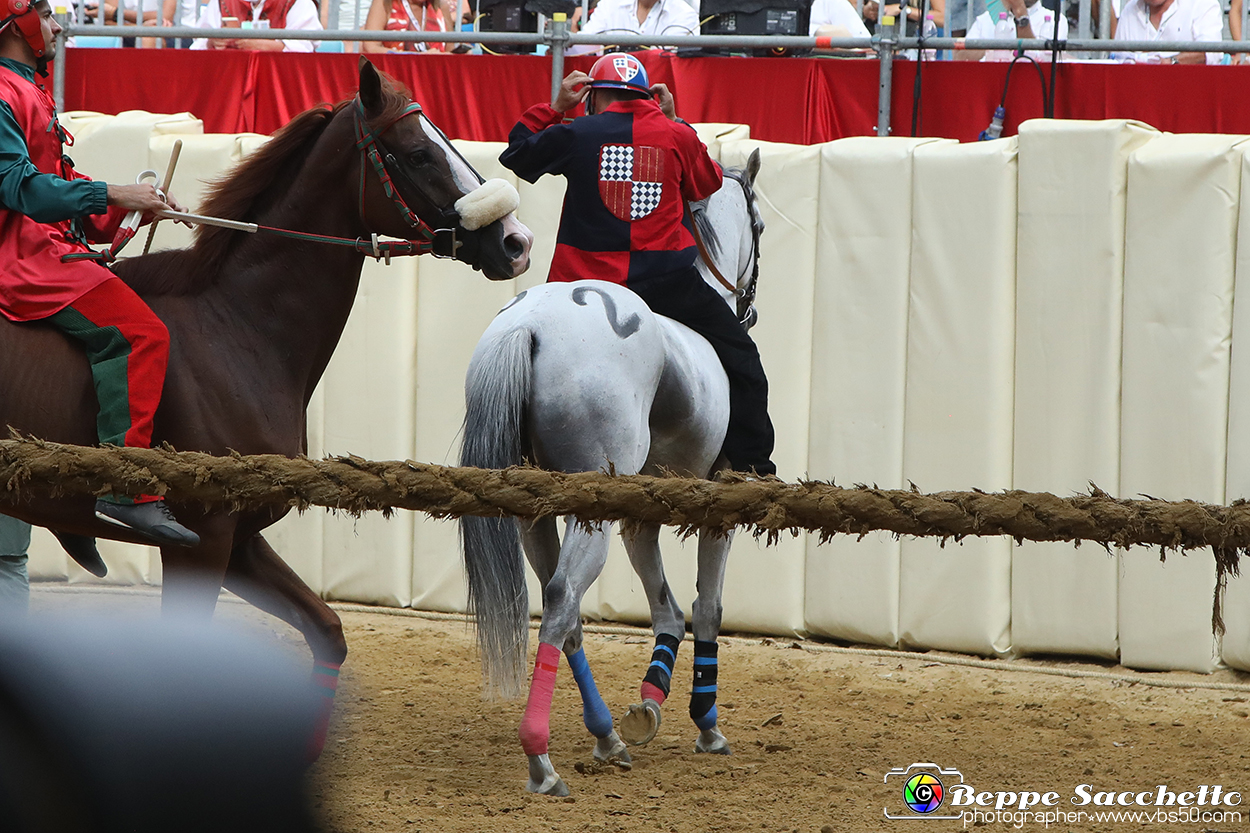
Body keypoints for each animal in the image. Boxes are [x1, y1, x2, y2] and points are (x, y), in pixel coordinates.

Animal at [0, 60, 532, 750]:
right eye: (418, 153)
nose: (516, 241)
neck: (237, 328)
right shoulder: (201, 542)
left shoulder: (240, 540)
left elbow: (328, 632)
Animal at [462, 149, 760, 790]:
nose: (749, 308)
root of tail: (530, 324)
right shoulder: (716, 507)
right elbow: (707, 607)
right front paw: (705, 722)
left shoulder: (638, 517)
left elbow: (667, 607)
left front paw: (650, 699)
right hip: (588, 516)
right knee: (561, 600)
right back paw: (542, 759)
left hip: (537, 514)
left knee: (565, 608)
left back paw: (604, 736)